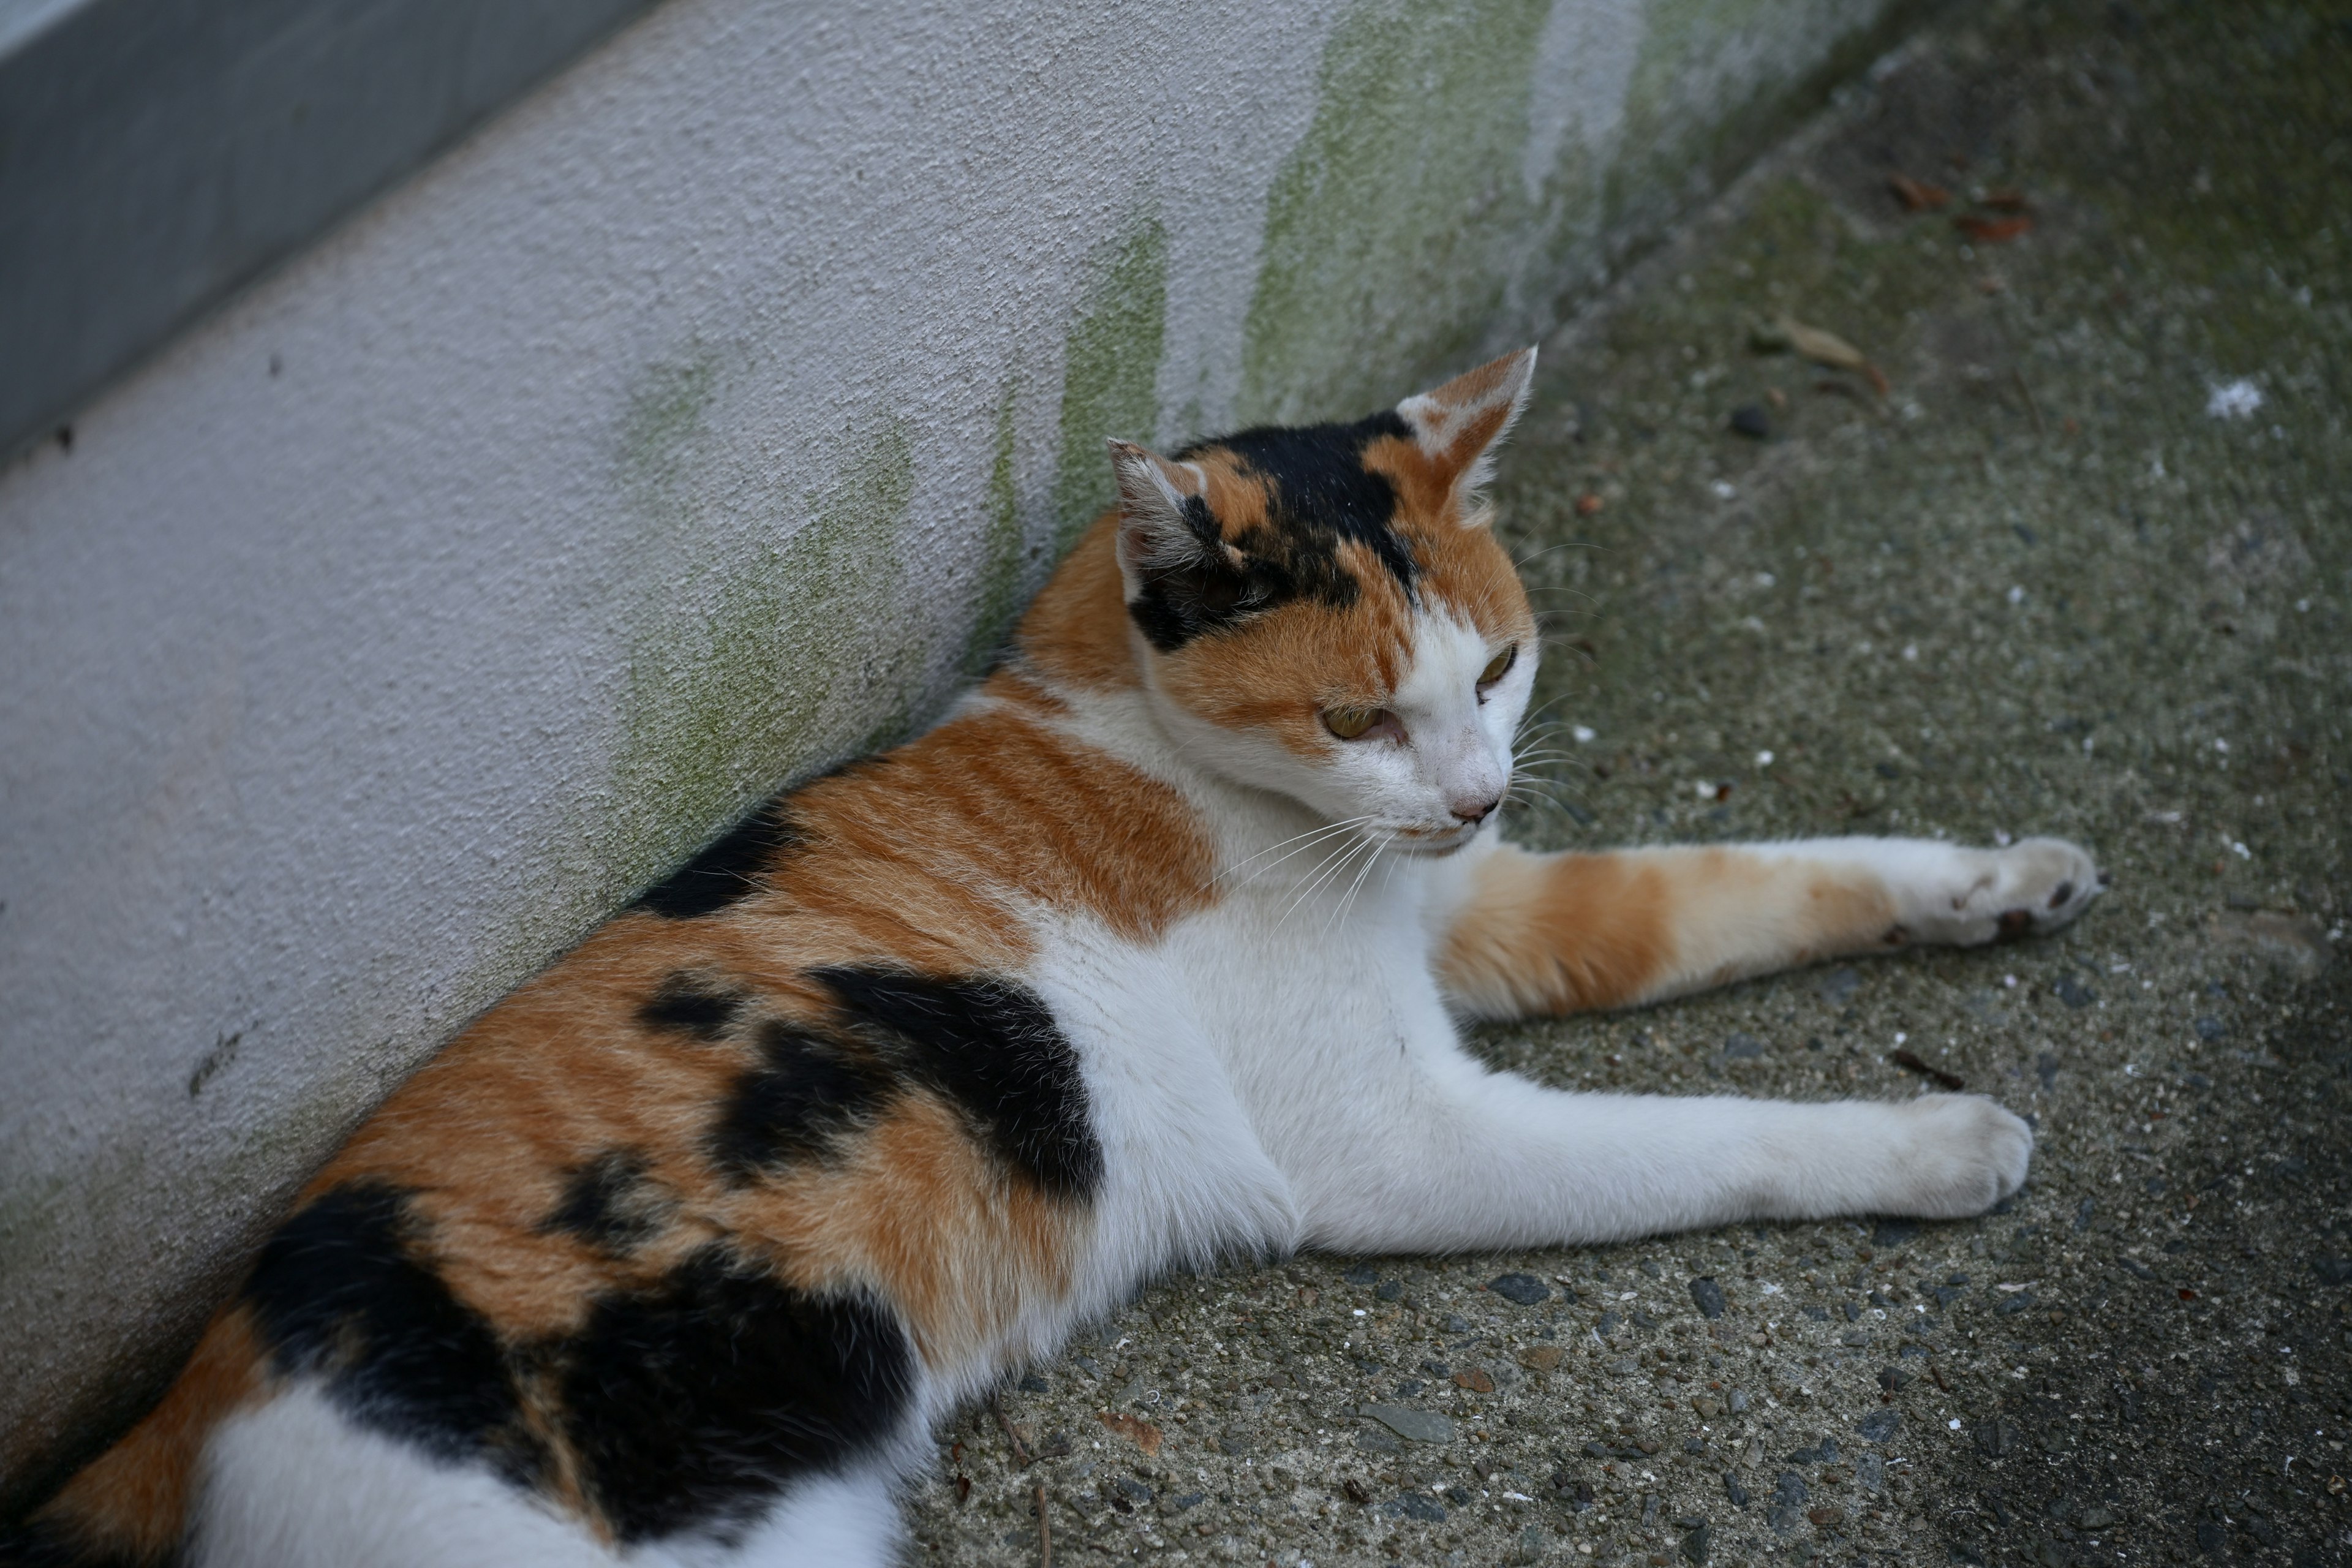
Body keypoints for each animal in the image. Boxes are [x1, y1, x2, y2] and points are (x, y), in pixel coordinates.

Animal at [9, 350, 2107, 1561]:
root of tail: (188, 1395)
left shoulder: (1481, 901)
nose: (1473, 788)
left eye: (1500, 668)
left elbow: (1748, 879)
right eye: (1355, 715)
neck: (1136, 732)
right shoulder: (1402, 1137)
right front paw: (1936, 1143)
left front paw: (1995, 876)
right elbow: (1711, 1136)